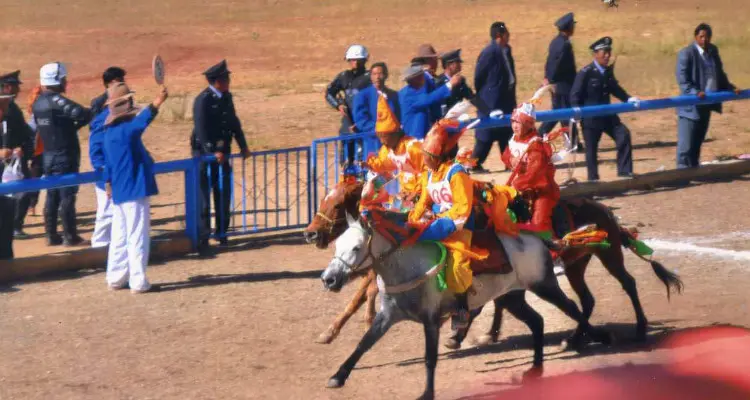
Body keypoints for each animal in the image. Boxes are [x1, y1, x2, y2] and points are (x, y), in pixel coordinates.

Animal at [302, 179, 684, 346]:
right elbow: (362, 294)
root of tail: (602, 209)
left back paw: (638, 328)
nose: (310, 233)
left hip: (609, 255)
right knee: (586, 300)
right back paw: (575, 336)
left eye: (336, 204)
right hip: (577, 265)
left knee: (628, 284)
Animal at [320, 211, 612, 398]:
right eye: (337, 245)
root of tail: (535, 238)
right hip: (512, 297)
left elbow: (429, 358)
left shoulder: (431, 320)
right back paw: (535, 369)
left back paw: (594, 337)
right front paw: (338, 376)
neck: (407, 266)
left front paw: (427, 393)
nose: (329, 278)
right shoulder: (388, 315)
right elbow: (363, 344)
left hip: (544, 285)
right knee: (537, 321)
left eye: (356, 248)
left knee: (572, 308)